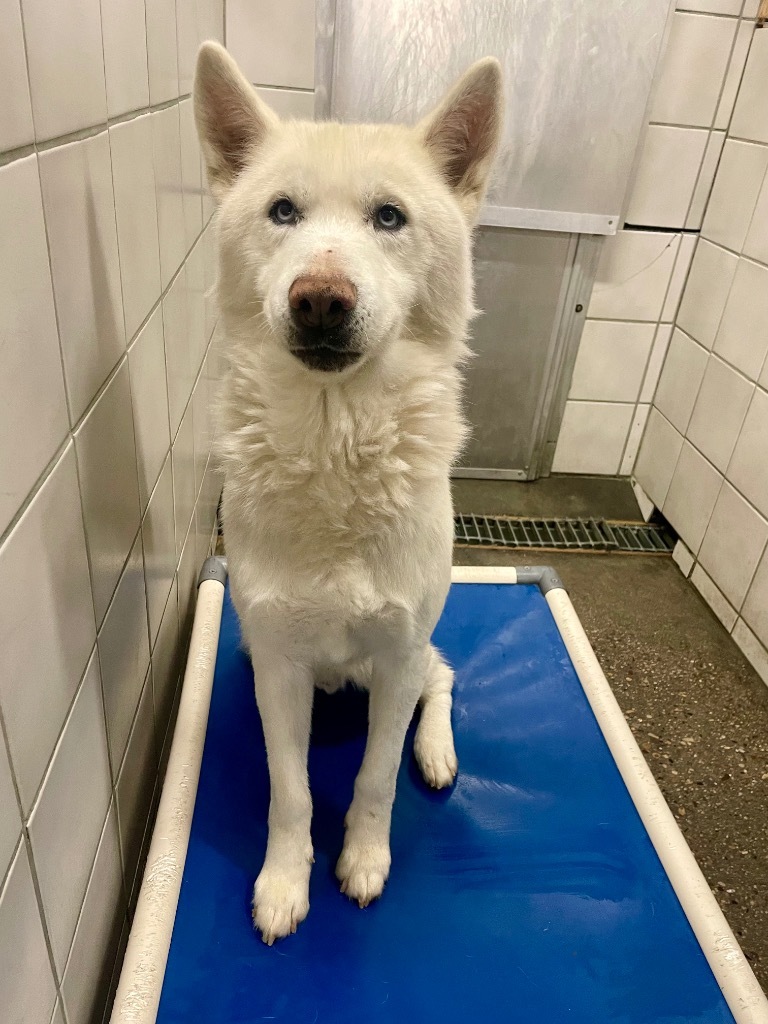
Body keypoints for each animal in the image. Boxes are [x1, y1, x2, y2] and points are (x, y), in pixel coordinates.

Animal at [193, 44, 505, 946]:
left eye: (390, 218)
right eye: (283, 211)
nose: (320, 299)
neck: (336, 447)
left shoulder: (398, 653)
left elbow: (372, 780)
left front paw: (364, 862)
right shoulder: (279, 669)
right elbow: (290, 792)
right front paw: (284, 883)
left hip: (410, 656)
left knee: (442, 678)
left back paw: (435, 752)